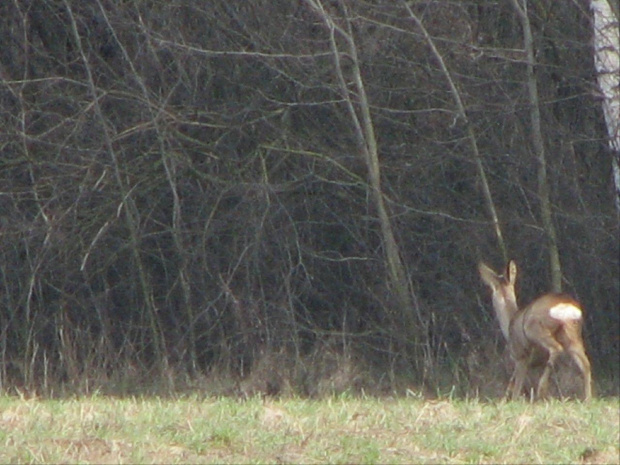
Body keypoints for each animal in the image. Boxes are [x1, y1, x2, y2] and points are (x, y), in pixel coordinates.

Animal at [478, 260, 592, 398]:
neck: (510, 321)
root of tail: (566, 306)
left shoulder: (520, 356)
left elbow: (516, 389)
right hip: (572, 334)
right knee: (585, 364)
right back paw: (587, 399)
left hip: (535, 329)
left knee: (556, 348)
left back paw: (541, 388)